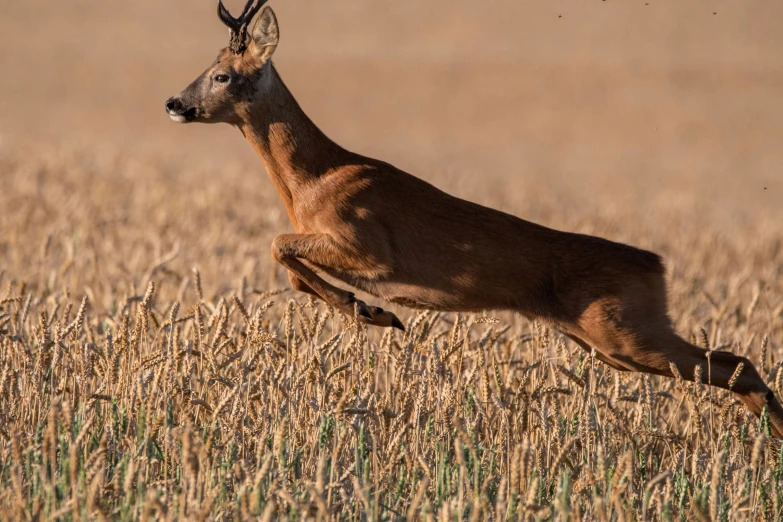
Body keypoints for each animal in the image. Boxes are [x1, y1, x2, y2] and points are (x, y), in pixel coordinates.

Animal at [165, 0, 783, 434]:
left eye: (222, 74)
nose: (175, 103)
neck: (312, 180)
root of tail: (655, 264)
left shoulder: (369, 245)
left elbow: (278, 245)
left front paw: (373, 312)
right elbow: (290, 266)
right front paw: (371, 312)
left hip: (626, 331)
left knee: (738, 362)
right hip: (609, 345)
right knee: (734, 369)